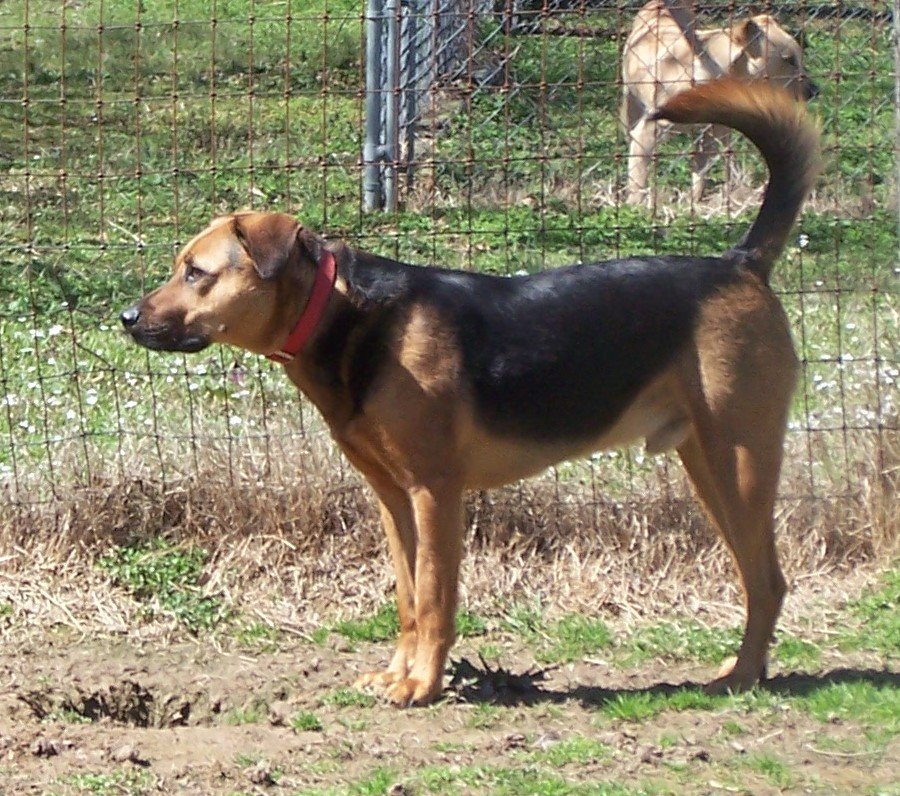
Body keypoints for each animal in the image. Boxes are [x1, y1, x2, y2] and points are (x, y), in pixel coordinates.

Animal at [121, 77, 824, 704]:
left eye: (196, 273)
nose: (128, 318)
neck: (349, 317)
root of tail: (740, 263)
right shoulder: (395, 500)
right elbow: (407, 599)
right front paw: (398, 675)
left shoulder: (436, 493)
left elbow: (435, 597)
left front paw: (423, 687)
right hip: (708, 469)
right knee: (760, 579)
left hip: (740, 465)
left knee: (768, 581)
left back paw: (740, 677)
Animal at [624, 0, 820, 205]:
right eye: (788, 59)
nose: (816, 91)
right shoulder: (645, 133)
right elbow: (637, 179)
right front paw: (634, 206)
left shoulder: (715, 132)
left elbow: (701, 172)